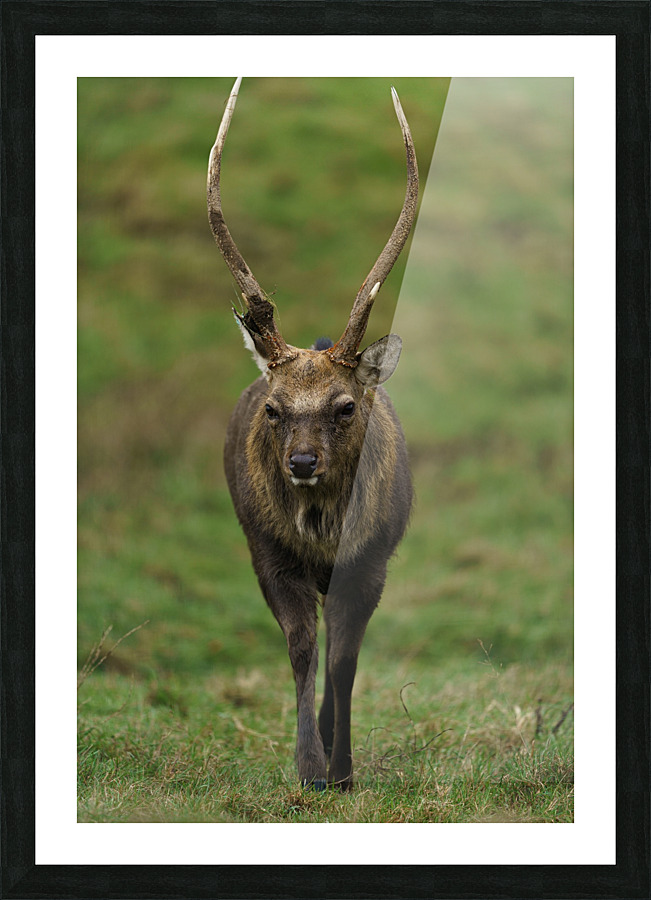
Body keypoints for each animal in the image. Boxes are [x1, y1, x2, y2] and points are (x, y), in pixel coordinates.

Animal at [207, 78, 418, 790]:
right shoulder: (265, 549)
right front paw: (308, 767)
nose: (301, 462)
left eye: (345, 405)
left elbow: (344, 659)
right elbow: (301, 647)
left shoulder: (373, 559)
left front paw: (343, 769)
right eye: (275, 408)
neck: (323, 532)